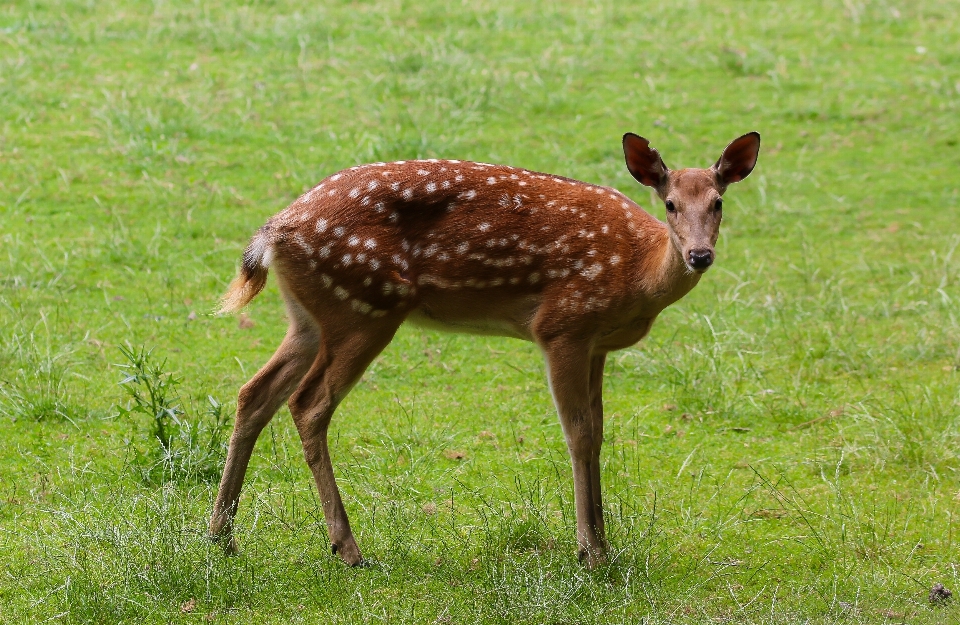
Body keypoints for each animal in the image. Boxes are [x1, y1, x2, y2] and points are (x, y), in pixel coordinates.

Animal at [208, 130, 756, 564]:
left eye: (718, 202)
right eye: (670, 204)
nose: (699, 255)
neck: (636, 275)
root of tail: (273, 232)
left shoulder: (597, 344)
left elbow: (599, 433)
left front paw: (601, 541)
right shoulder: (563, 325)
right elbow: (579, 435)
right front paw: (591, 552)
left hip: (309, 318)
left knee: (254, 393)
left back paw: (221, 535)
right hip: (365, 309)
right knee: (308, 403)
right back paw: (347, 548)